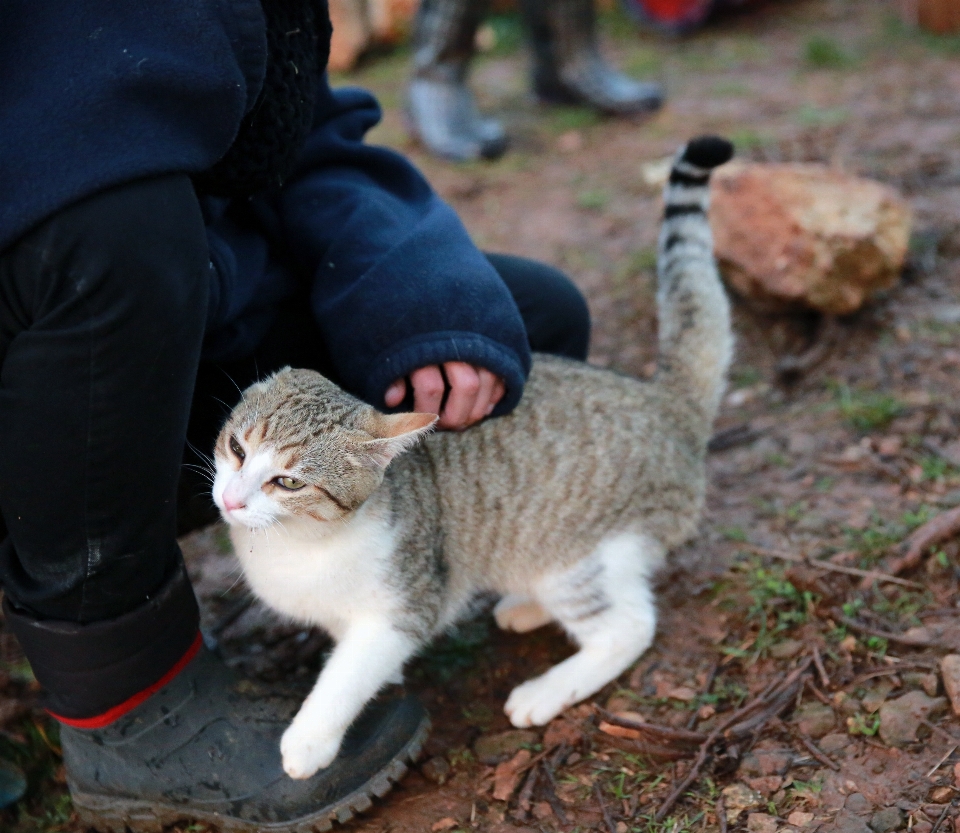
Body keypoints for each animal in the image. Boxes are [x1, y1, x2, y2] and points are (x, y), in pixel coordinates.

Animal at [212, 136, 736, 780]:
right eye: (237, 449)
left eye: (287, 482)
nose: (231, 499)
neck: (295, 546)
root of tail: (668, 401)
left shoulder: (404, 608)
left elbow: (347, 676)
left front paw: (308, 741)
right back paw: (523, 606)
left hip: (580, 557)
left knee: (630, 627)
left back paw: (544, 690)